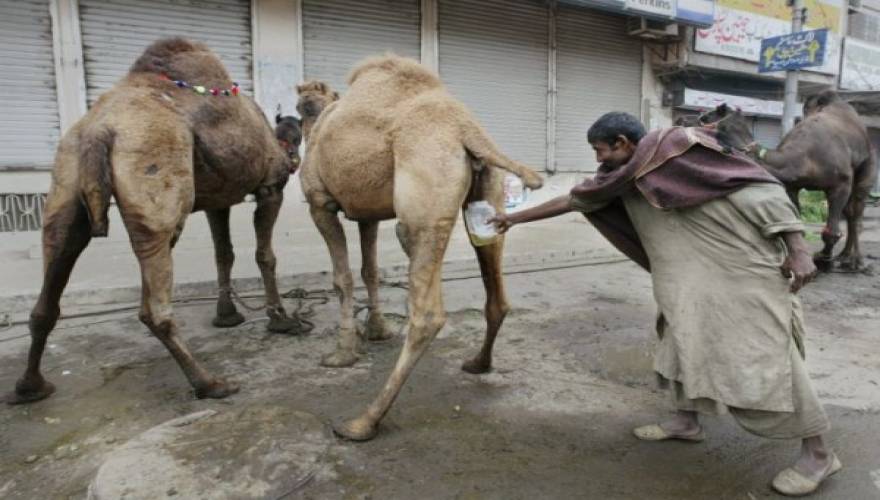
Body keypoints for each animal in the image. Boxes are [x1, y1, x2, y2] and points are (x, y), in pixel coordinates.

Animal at [7, 38, 302, 405]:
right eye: (296, 138)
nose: (295, 161)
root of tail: (98, 130)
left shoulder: (217, 200)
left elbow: (224, 254)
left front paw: (227, 315)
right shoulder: (271, 187)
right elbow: (265, 256)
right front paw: (281, 319)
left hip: (65, 184)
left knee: (52, 276)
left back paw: (30, 386)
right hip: (156, 185)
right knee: (154, 301)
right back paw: (210, 383)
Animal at [296, 56, 543, 440]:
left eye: (302, 107)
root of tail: (466, 129)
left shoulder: (320, 203)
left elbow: (342, 278)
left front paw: (341, 354)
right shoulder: (367, 213)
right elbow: (369, 270)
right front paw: (378, 331)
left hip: (422, 202)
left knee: (427, 314)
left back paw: (363, 421)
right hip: (487, 193)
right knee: (496, 291)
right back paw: (478, 363)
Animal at [703, 93, 877, 271]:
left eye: (714, 117)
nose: (701, 116)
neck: (807, 157)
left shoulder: (841, 184)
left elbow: (832, 230)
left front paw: (823, 259)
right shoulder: (792, 185)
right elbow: (795, 220)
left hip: (867, 165)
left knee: (855, 213)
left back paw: (854, 261)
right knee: (850, 213)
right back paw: (844, 256)